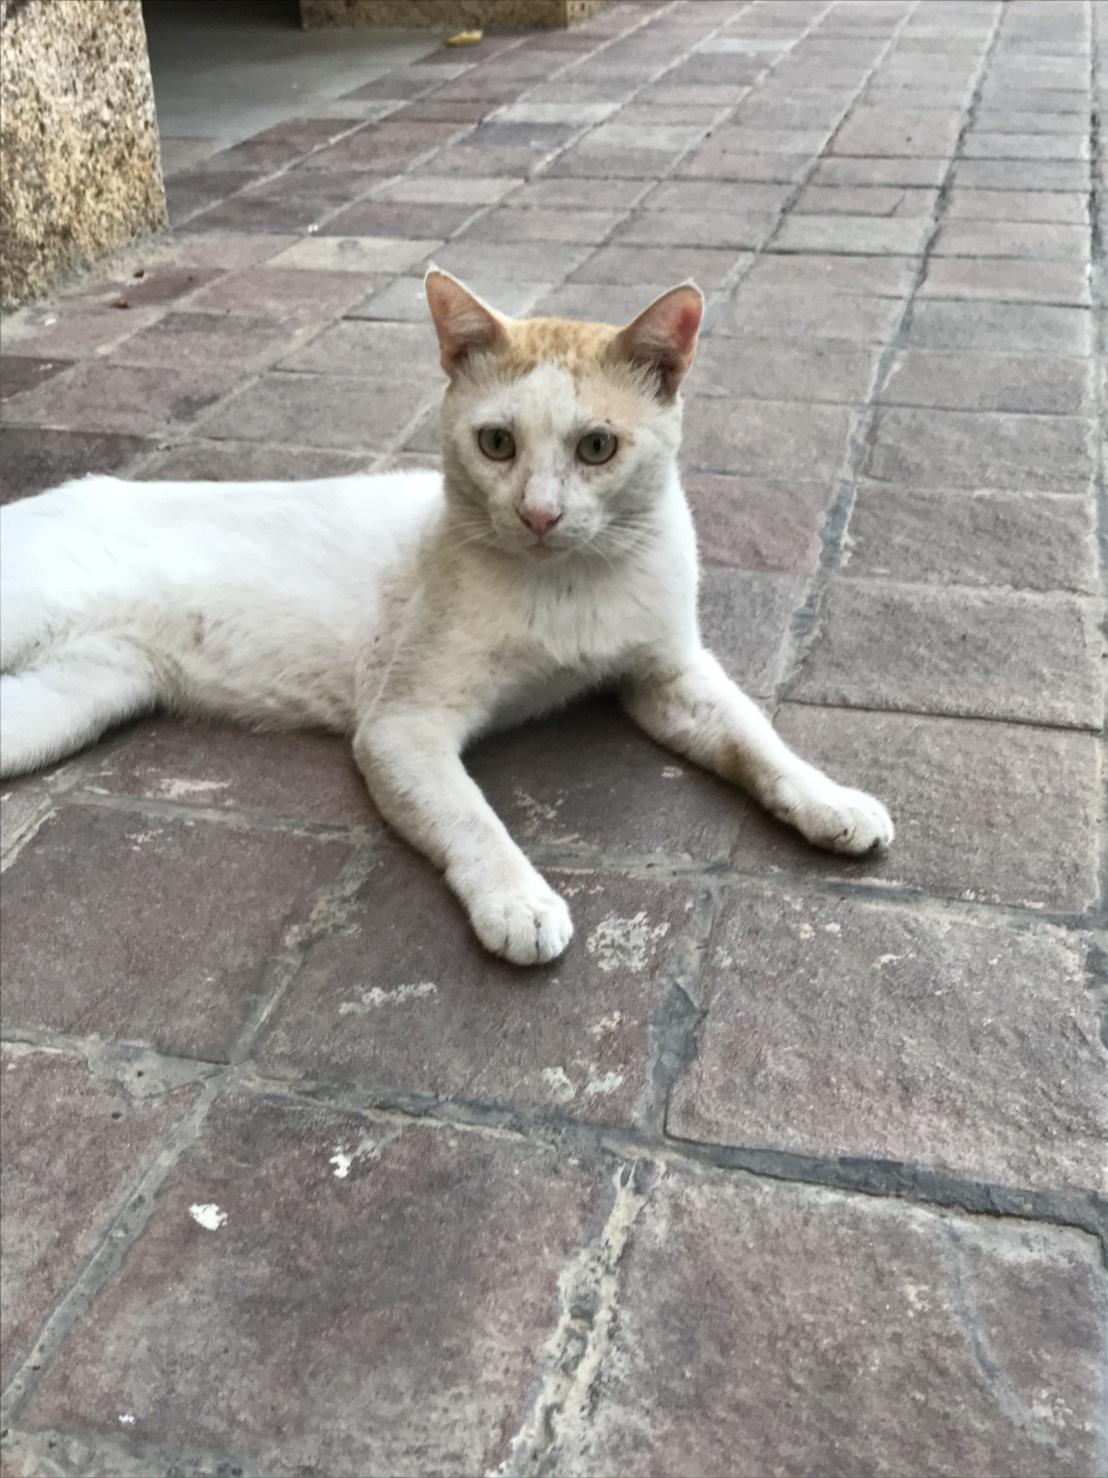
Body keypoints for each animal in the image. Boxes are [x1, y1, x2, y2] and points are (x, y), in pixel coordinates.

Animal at [0, 270, 893, 964]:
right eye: (496, 444)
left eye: (597, 448)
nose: (538, 513)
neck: (566, 584)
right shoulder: (403, 726)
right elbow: (472, 818)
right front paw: (518, 901)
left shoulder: (670, 676)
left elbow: (757, 740)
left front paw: (832, 802)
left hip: (67, 703)